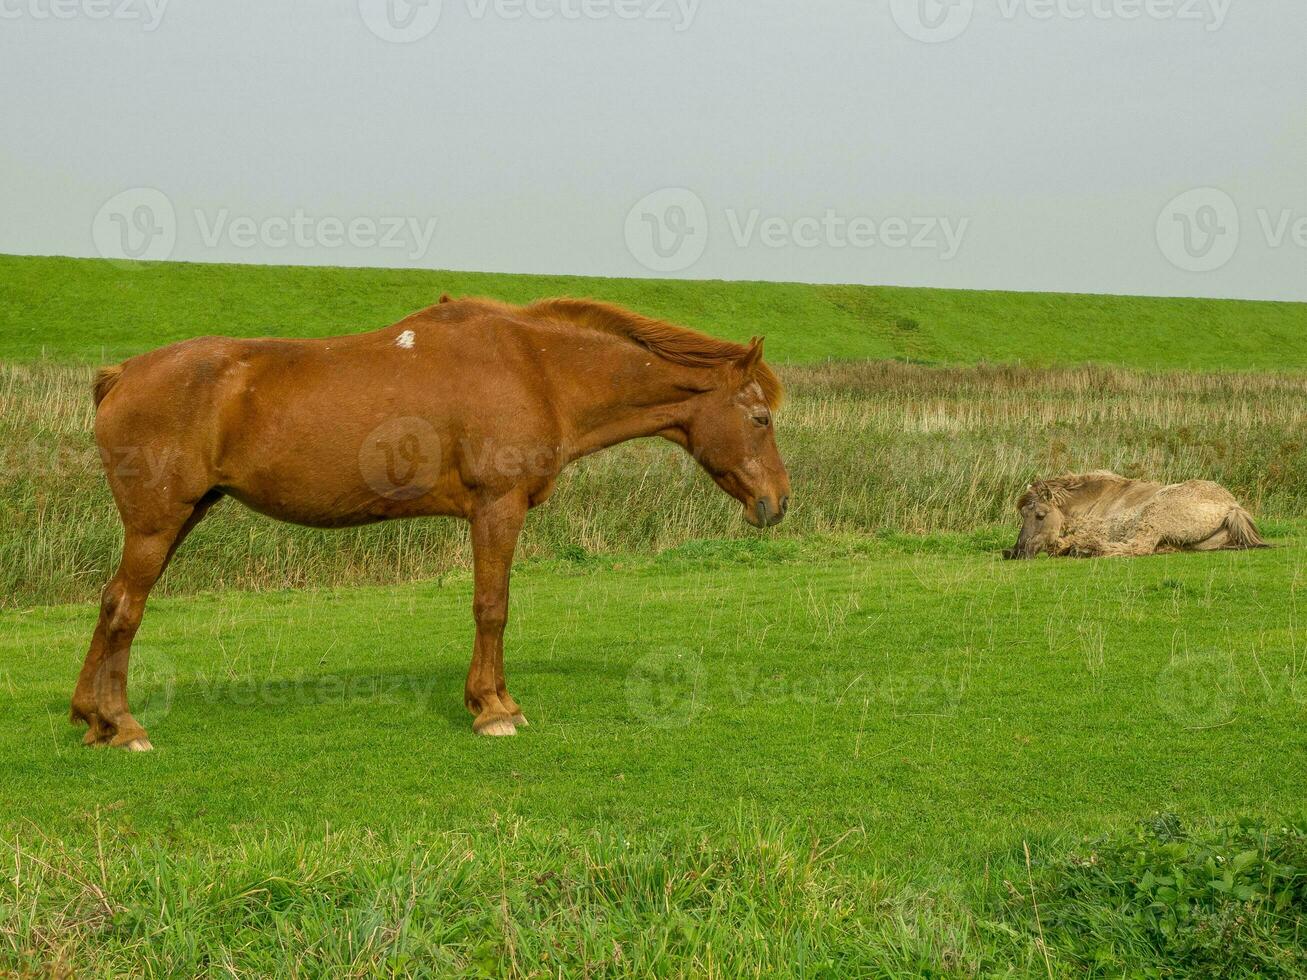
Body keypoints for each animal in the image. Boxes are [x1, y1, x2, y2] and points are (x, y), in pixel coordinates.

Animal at [76, 295, 789, 747]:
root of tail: (123, 374)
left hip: (181, 517)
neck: (536, 368)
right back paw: (125, 726)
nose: (778, 502)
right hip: (156, 525)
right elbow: (492, 607)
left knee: (111, 602)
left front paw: (501, 701)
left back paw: (91, 717)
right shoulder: (497, 507)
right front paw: (492, 710)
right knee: (125, 608)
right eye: (760, 418)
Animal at [998, 473, 1265, 564]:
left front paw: (1074, 546)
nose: (1015, 552)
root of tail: (1231, 506)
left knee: (1139, 547)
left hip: (1154, 515)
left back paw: (1087, 550)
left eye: (1040, 515)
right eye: (1022, 515)